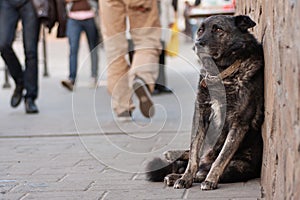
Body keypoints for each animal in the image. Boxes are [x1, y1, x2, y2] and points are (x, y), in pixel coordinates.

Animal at [146, 14, 264, 190]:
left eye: (218, 29)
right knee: (194, 157)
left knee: (205, 168)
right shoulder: (200, 115)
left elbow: (221, 157)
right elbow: (194, 152)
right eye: (200, 30)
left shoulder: (239, 124)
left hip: (239, 166)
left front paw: (211, 179)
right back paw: (174, 165)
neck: (221, 73)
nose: (197, 43)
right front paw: (185, 177)